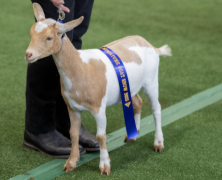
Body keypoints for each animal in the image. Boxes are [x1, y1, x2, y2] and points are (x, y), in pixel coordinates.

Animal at [25, 2, 172, 176]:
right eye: (31, 34)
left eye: (49, 37)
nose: (28, 54)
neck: (81, 68)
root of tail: (153, 47)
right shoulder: (72, 107)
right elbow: (73, 133)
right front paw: (70, 163)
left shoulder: (99, 107)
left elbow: (101, 136)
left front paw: (105, 166)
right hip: (129, 87)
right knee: (137, 102)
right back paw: (132, 135)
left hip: (151, 81)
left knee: (156, 109)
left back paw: (158, 144)